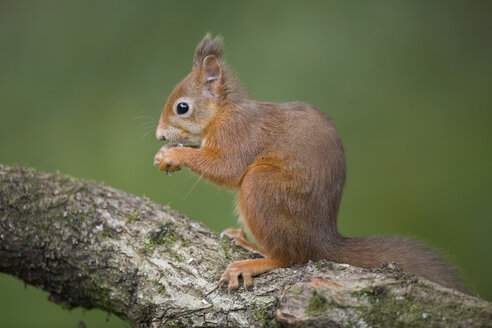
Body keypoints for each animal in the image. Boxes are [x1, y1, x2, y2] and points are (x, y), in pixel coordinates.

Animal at [154, 33, 466, 292]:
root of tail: (321, 237)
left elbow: (225, 169)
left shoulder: (239, 133)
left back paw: (252, 259)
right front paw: (166, 154)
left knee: (290, 256)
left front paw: (173, 155)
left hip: (262, 187)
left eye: (182, 107)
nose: (159, 135)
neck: (224, 112)